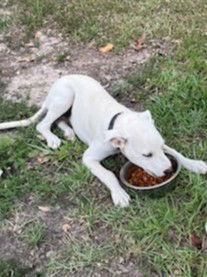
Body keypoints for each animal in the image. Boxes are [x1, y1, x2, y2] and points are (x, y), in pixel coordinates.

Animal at [0, 74, 206, 206]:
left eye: (161, 147)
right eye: (146, 155)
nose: (169, 170)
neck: (119, 121)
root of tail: (60, 79)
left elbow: (176, 152)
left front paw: (195, 164)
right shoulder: (89, 158)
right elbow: (109, 174)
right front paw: (119, 194)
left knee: (59, 119)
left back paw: (68, 132)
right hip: (65, 96)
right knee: (43, 124)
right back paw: (52, 138)